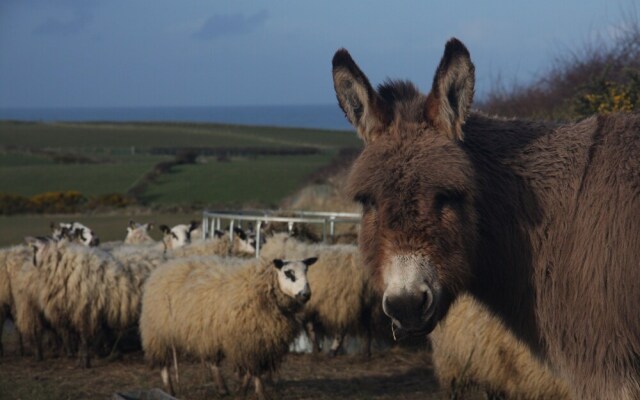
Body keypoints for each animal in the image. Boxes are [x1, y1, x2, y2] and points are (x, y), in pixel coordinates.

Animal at [142, 255, 318, 398]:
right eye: (289, 273)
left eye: (307, 271)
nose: (306, 294)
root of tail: (164, 267)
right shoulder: (248, 339)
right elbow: (254, 370)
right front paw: (259, 392)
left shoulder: (260, 341)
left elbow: (251, 370)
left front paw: (243, 389)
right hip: (158, 332)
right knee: (164, 363)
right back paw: (169, 389)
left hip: (208, 333)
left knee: (213, 362)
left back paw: (222, 389)